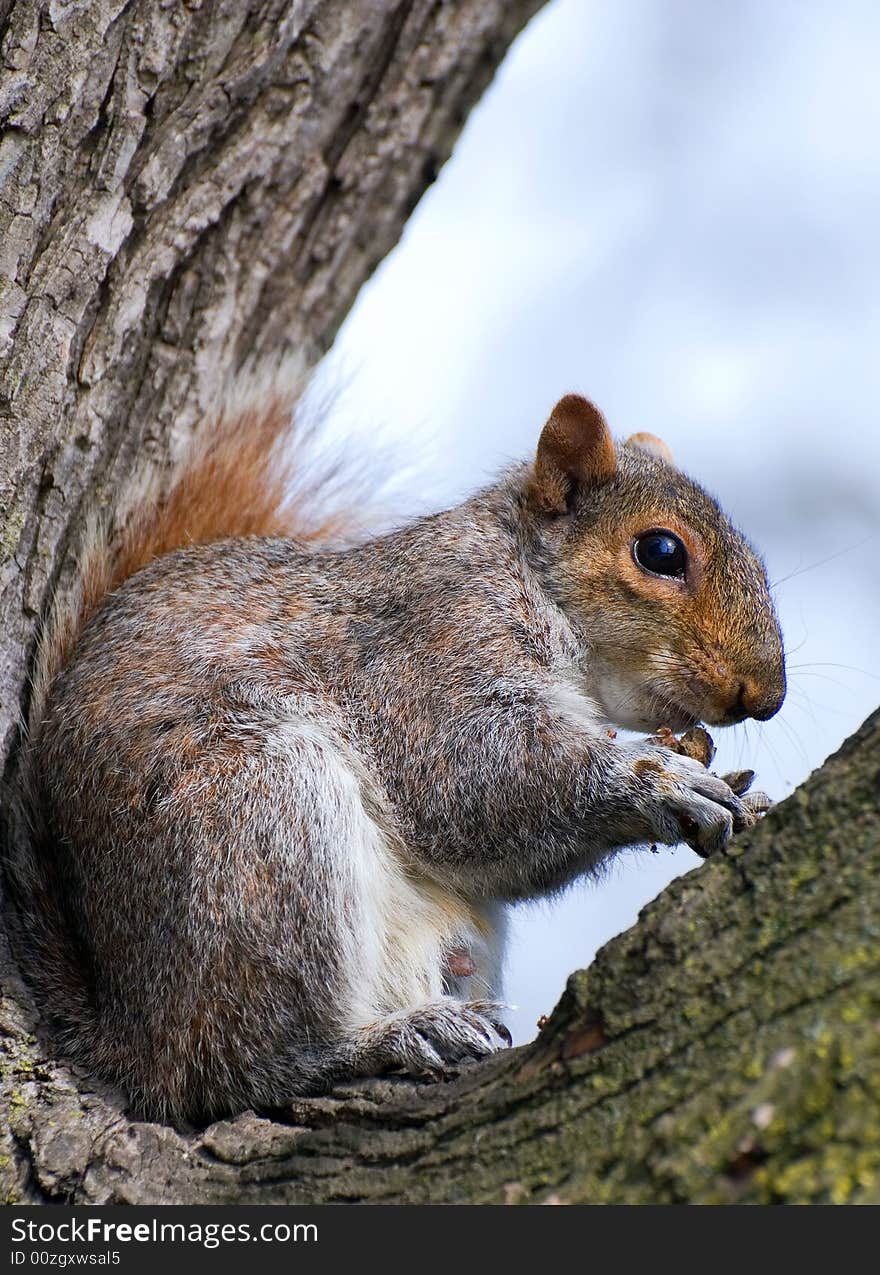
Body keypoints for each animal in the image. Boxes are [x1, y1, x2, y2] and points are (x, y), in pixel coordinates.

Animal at [11, 390, 780, 1127]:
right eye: (661, 551)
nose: (766, 695)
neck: (527, 576)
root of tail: (132, 1031)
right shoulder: (427, 650)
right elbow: (472, 781)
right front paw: (660, 780)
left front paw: (741, 790)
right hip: (260, 827)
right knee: (237, 1064)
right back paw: (381, 1040)